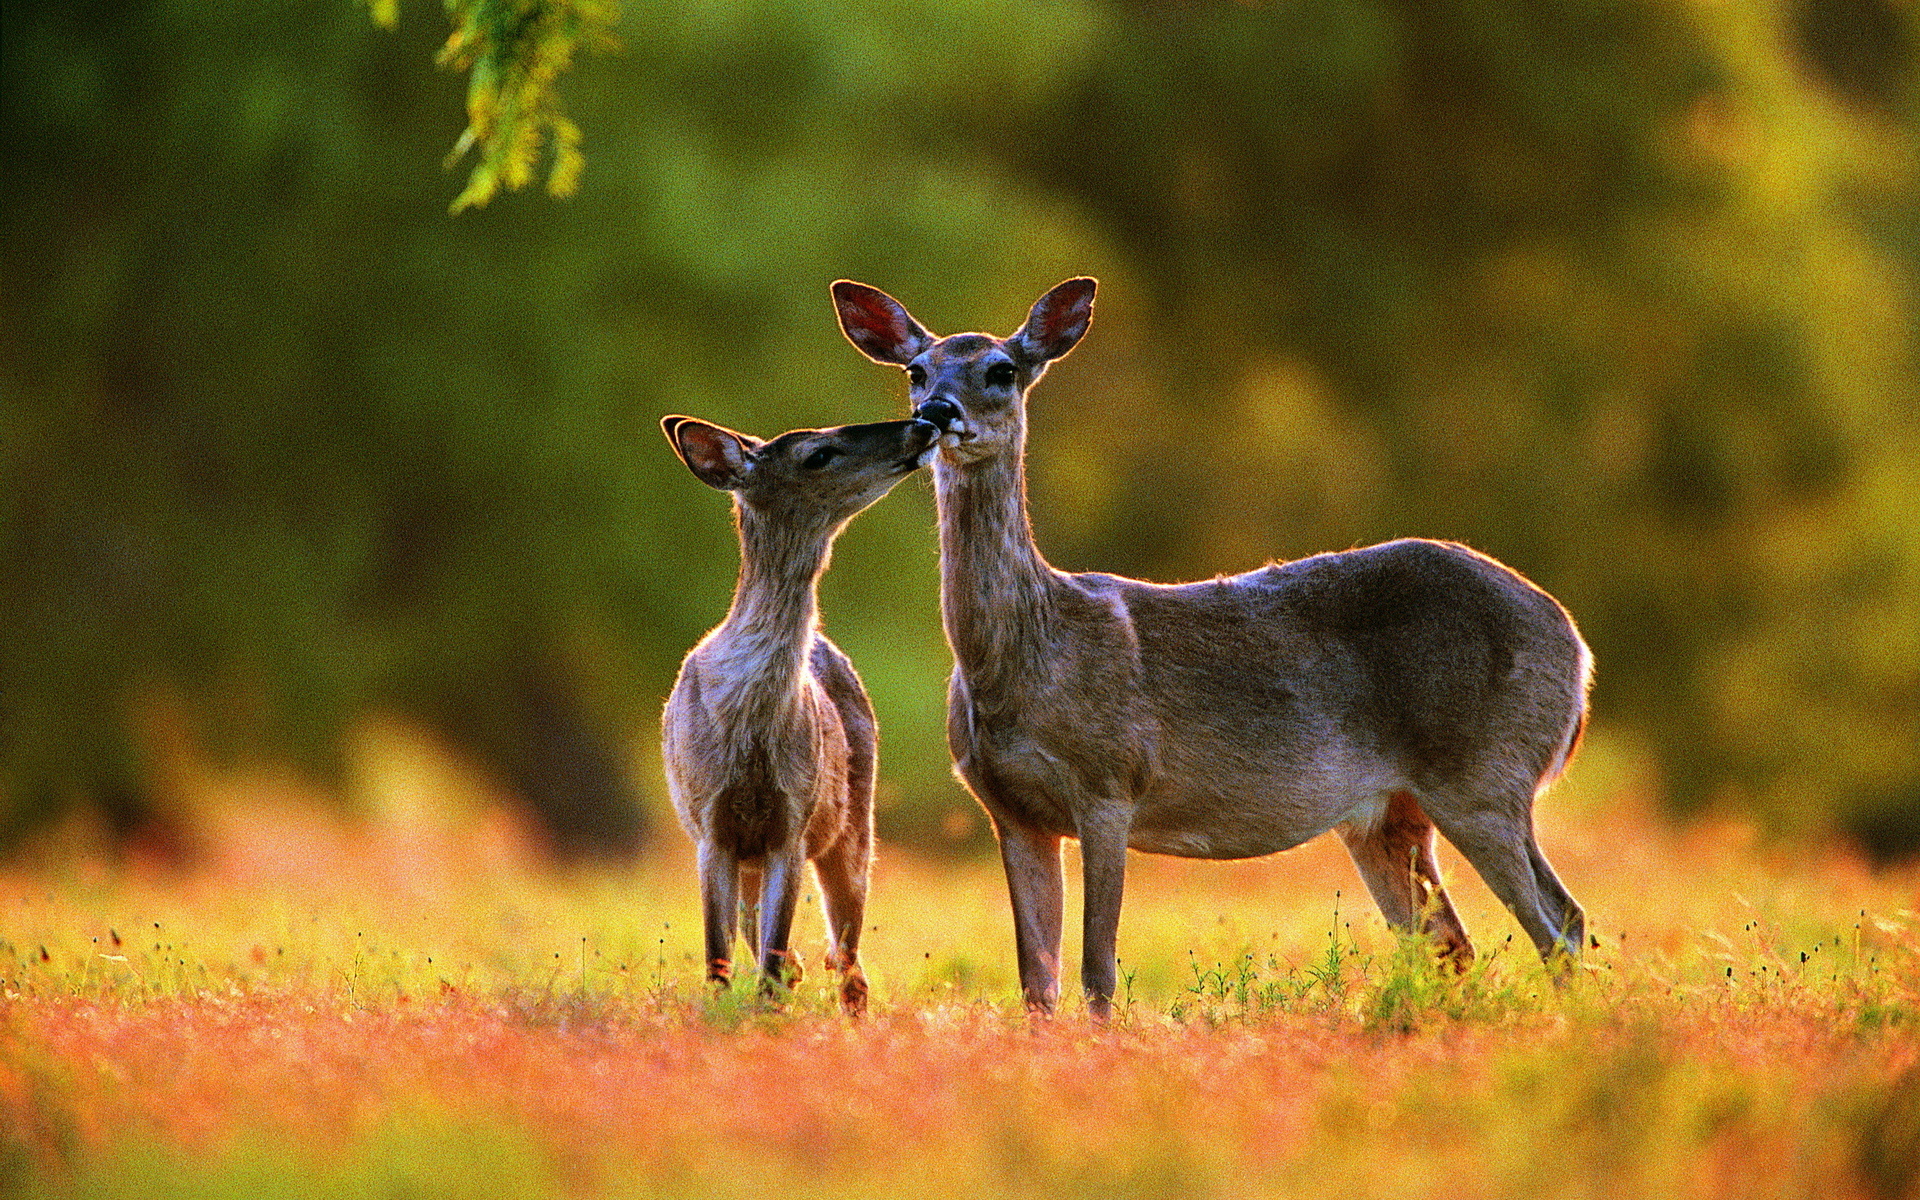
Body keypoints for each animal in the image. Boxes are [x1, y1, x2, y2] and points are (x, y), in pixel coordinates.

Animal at [660, 412, 940, 1015]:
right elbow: (719, 956)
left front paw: (767, 1011)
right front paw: (723, 1012)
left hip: (855, 825)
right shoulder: (710, 824)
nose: (924, 423)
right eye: (818, 454)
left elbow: (770, 953)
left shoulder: (793, 821)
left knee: (850, 959)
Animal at [833, 277, 1591, 1019]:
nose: (937, 412)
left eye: (1001, 369)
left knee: (1560, 921)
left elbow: (1097, 972)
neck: (1028, 654)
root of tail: (1575, 646)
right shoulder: (1011, 811)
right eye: (915, 370)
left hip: (1484, 773)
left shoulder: (1110, 784)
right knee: (1454, 943)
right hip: (1389, 814)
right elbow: (1036, 986)